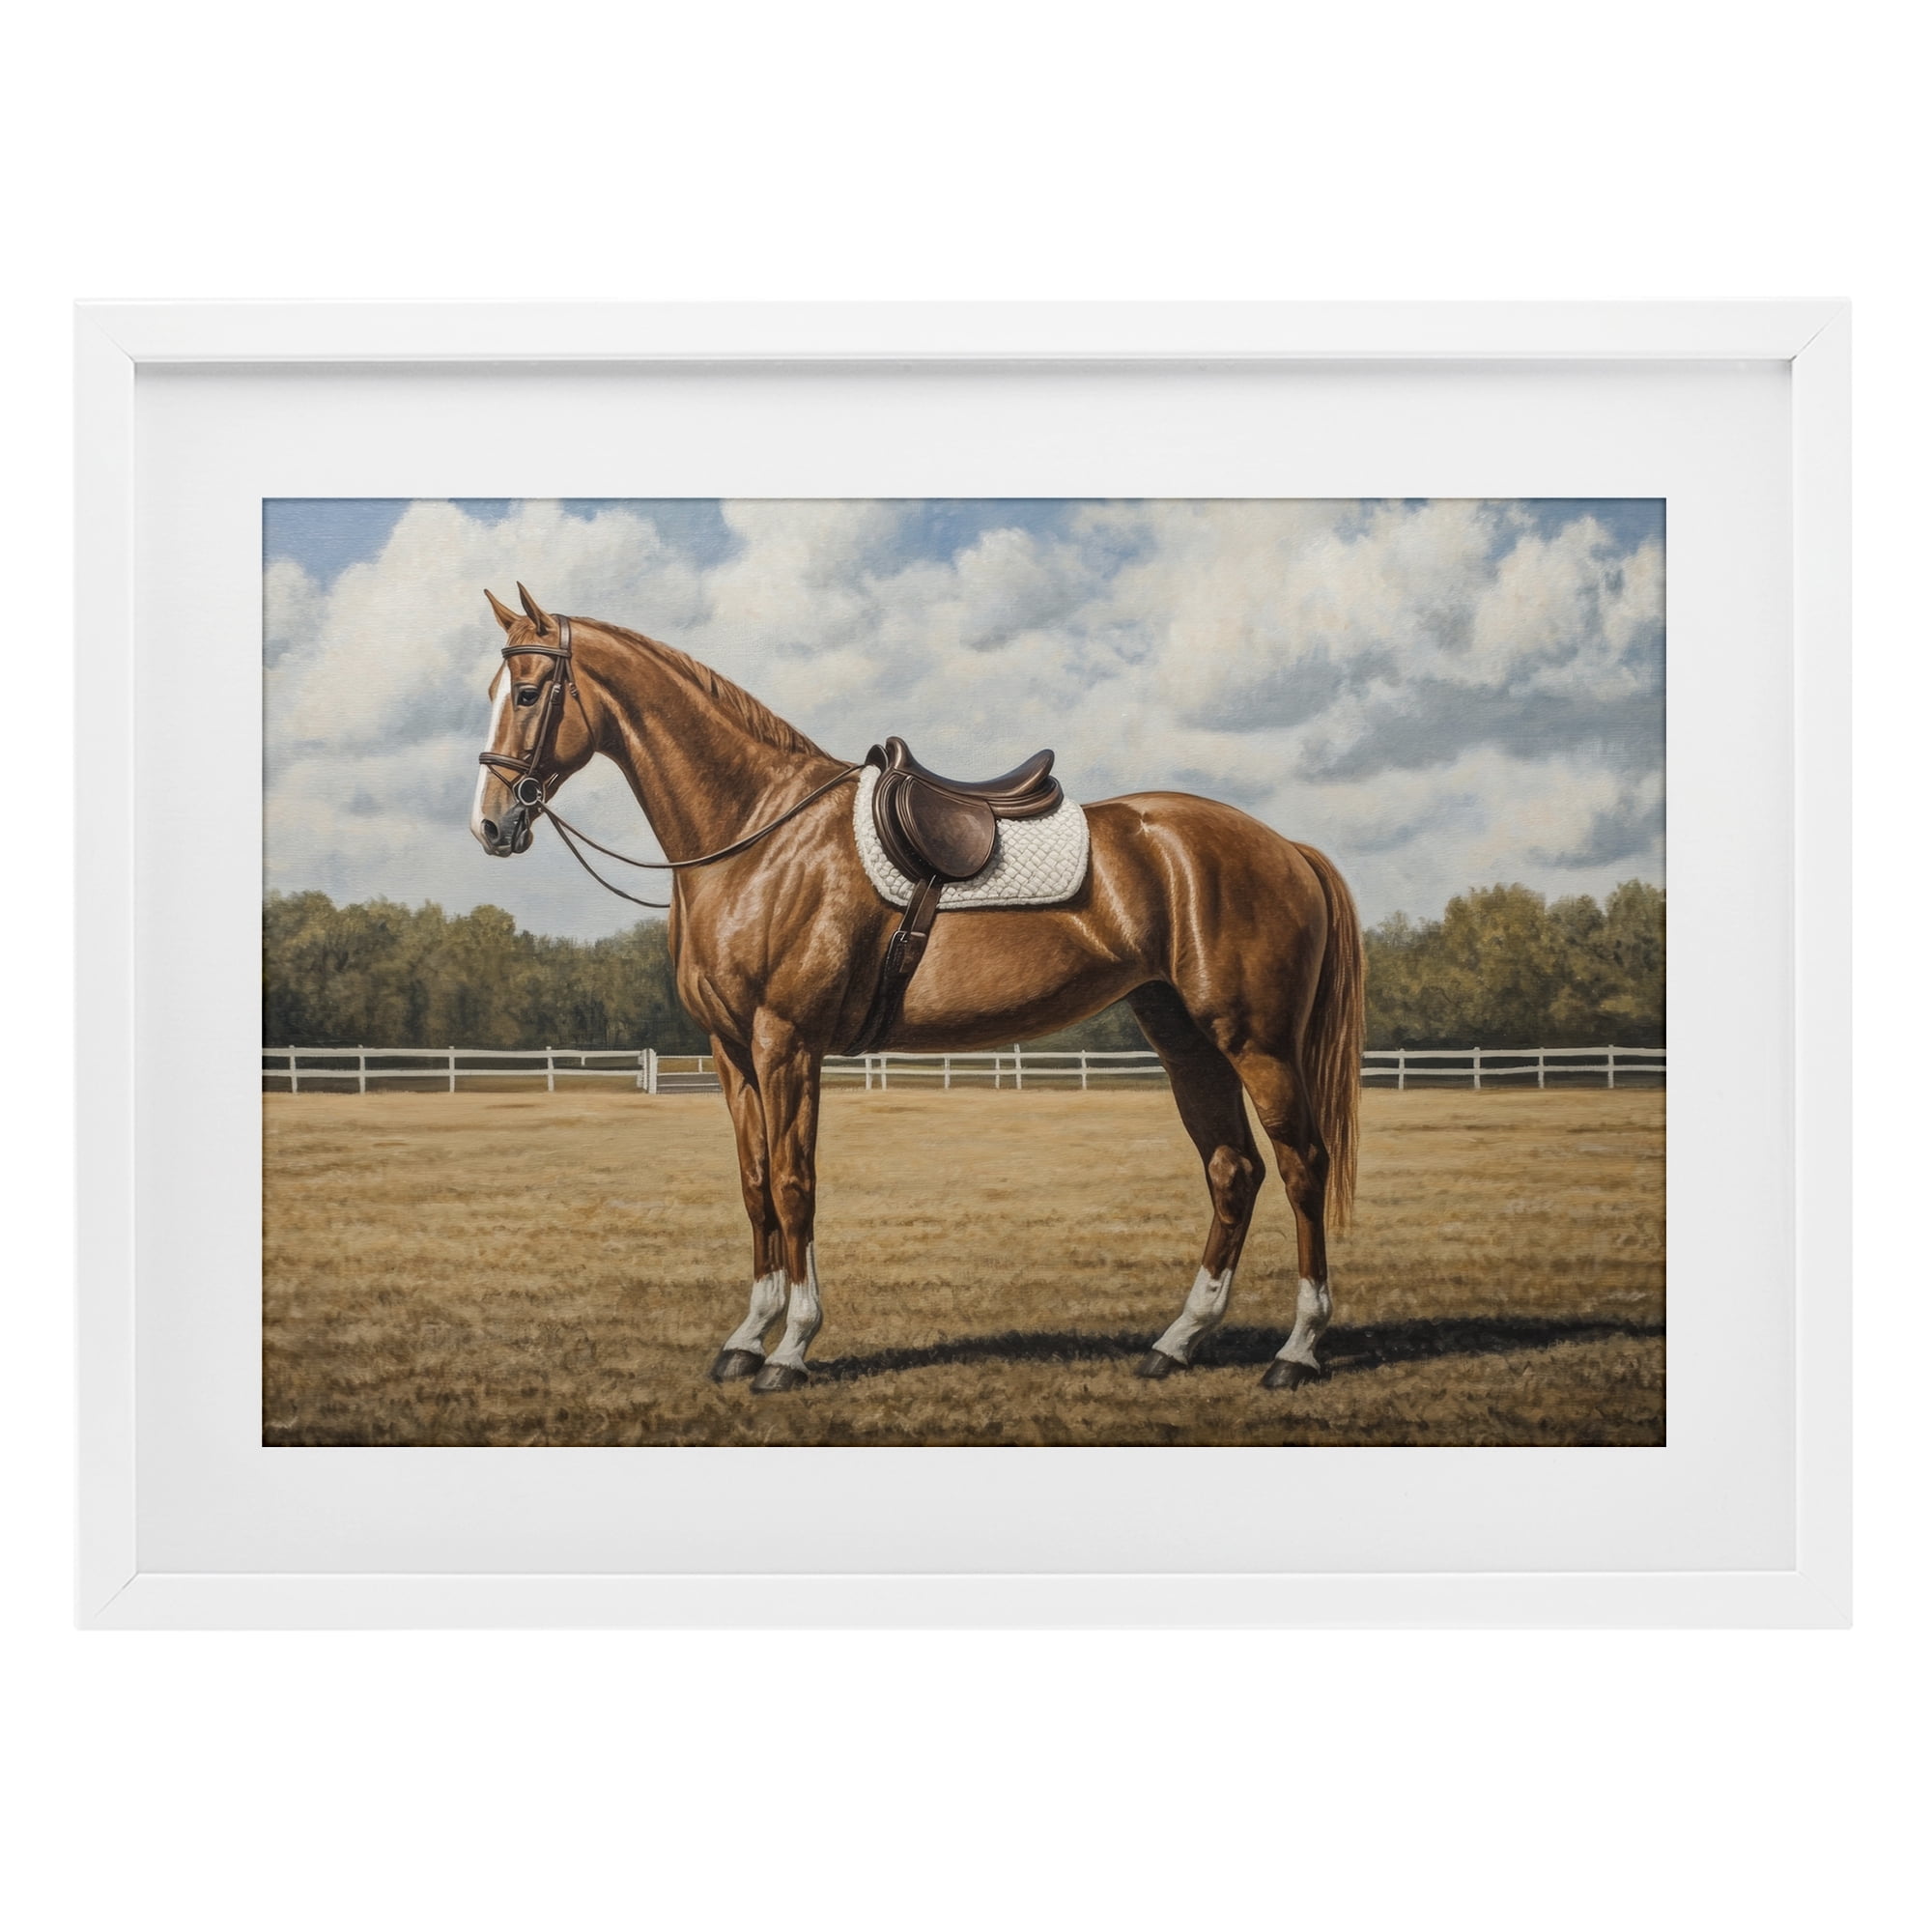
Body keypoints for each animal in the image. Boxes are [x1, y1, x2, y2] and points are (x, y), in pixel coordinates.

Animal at [470, 584, 1364, 1395]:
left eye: (527, 692)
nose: (490, 825)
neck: (758, 836)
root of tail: (1284, 845)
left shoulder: (786, 1041)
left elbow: (794, 1184)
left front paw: (791, 1348)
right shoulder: (730, 1050)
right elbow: (755, 1185)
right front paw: (745, 1339)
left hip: (1256, 1041)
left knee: (1302, 1165)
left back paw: (1295, 1352)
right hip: (1184, 1038)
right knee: (1233, 1170)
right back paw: (1176, 1342)